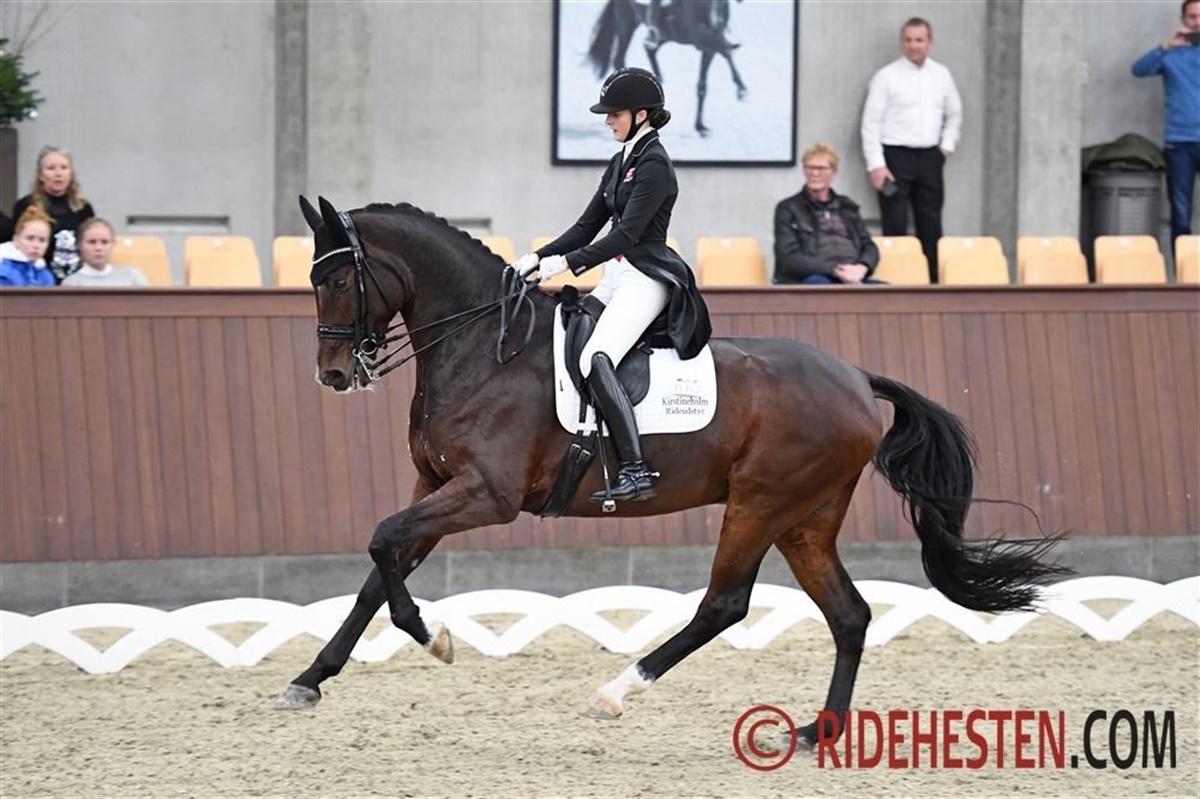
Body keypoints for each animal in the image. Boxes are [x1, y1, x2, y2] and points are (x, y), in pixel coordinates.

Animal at [275, 195, 1068, 747]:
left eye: (339, 278)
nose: (333, 374)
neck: (483, 345)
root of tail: (853, 376)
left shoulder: (485, 495)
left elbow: (382, 544)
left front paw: (431, 635)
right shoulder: (436, 486)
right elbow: (377, 569)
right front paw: (309, 680)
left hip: (759, 503)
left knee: (724, 604)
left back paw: (617, 690)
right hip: (805, 519)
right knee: (849, 614)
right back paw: (818, 732)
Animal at [587, 0, 748, 137]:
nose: (715, 22)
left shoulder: (707, 46)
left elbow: (703, 84)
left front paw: (700, 127)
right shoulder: (702, 38)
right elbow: (726, 50)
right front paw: (741, 89)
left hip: (663, 34)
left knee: (650, 49)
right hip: (627, 20)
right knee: (620, 58)